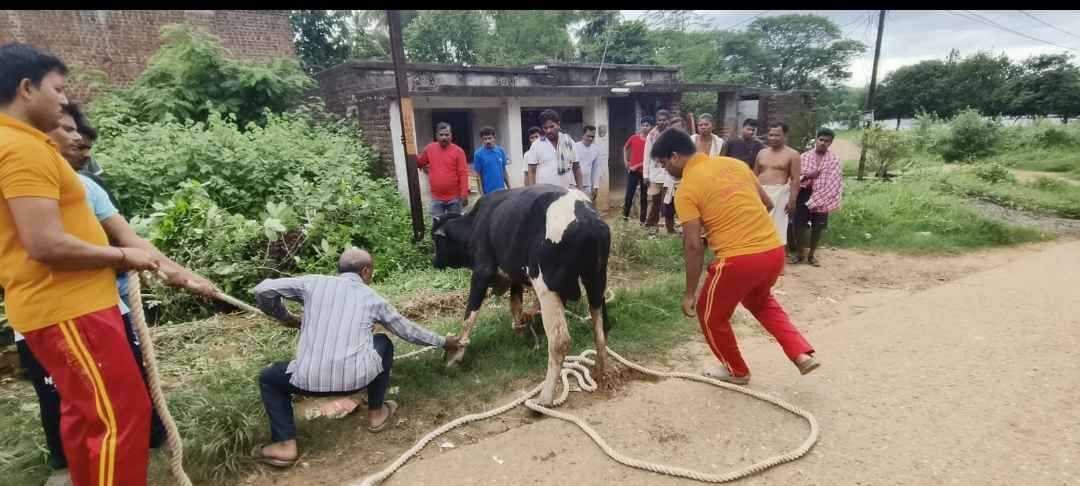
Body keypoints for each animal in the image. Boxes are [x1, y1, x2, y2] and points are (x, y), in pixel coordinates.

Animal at [432, 184, 612, 406]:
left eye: (435, 239)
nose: (434, 261)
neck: (477, 223)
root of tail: (589, 219)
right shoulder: (515, 276)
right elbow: (515, 304)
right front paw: (520, 328)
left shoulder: (482, 271)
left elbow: (470, 314)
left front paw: (456, 353)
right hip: (596, 282)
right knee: (601, 329)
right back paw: (600, 373)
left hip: (547, 288)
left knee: (560, 341)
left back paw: (544, 398)